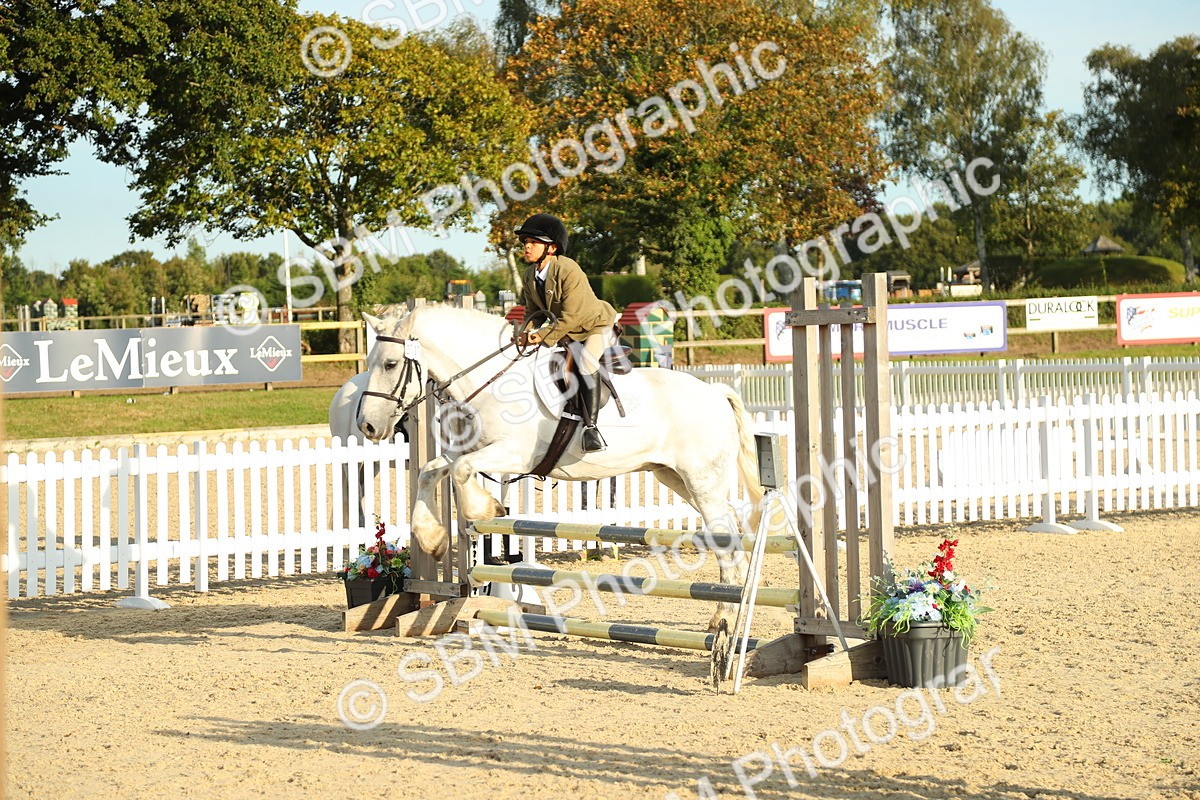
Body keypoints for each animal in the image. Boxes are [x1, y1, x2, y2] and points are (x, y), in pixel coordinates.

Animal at [356, 305, 765, 630]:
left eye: (390, 364)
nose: (368, 426)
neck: (494, 382)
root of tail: (716, 392)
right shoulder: (469, 451)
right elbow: (431, 470)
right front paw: (433, 539)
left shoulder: (513, 454)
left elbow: (460, 473)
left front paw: (485, 508)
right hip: (677, 477)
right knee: (728, 530)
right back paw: (725, 613)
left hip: (702, 482)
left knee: (726, 538)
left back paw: (724, 618)